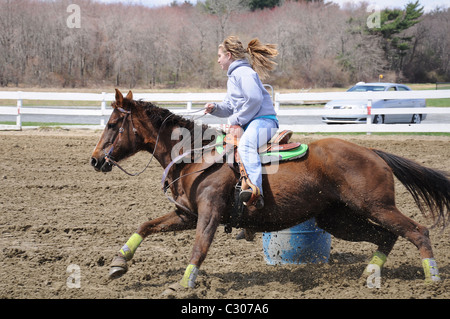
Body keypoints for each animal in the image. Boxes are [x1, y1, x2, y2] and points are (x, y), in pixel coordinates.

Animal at [89, 89, 448, 292]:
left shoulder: (209, 214)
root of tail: (373, 152)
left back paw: (431, 280)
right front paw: (118, 263)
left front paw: (183, 284)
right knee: (385, 236)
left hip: (376, 206)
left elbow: (199, 248)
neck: (196, 155)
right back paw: (371, 274)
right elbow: (146, 225)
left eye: (112, 125)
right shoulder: (186, 215)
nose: (94, 160)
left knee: (416, 231)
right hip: (338, 219)